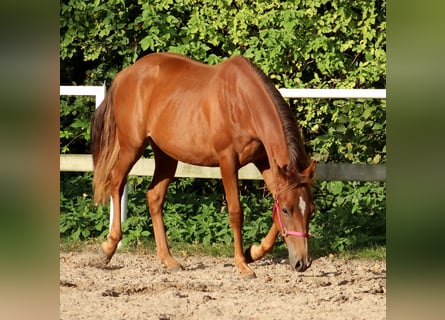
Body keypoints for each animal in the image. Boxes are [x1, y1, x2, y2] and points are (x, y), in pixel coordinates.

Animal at [91, 52, 316, 278]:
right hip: (132, 146)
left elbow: (273, 213)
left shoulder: (264, 161)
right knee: (116, 182)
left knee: (154, 197)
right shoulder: (227, 161)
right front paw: (242, 264)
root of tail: (124, 75)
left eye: (311, 210)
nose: (302, 262)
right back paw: (108, 249)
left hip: (166, 155)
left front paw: (253, 252)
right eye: (287, 210)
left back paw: (168, 260)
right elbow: (236, 212)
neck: (243, 102)